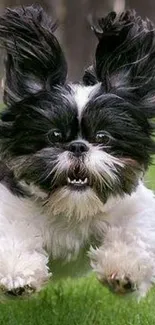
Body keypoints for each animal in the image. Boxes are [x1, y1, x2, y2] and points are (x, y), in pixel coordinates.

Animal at [0, 5, 154, 298]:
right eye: (55, 135)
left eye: (102, 137)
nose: (78, 146)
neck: (72, 207)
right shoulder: (9, 206)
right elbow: (10, 237)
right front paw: (18, 275)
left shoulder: (136, 207)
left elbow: (136, 233)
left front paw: (124, 270)